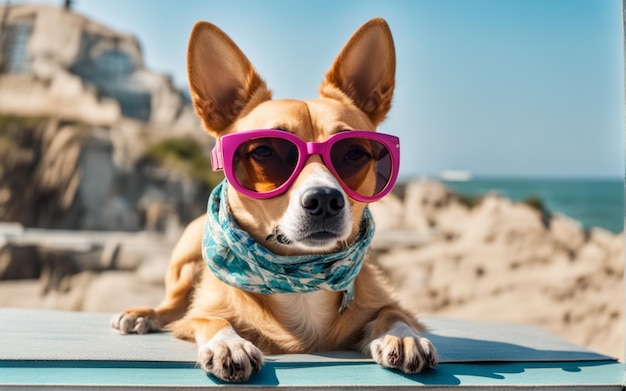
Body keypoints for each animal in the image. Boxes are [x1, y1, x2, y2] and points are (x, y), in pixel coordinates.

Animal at [109, 17, 436, 382]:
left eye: (353, 153)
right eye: (265, 151)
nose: (325, 199)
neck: (299, 275)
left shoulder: (394, 305)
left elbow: (394, 313)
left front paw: (404, 337)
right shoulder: (197, 315)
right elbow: (210, 317)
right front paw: (229, 343)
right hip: (188, 248)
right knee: (173, 305)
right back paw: (142, 314)